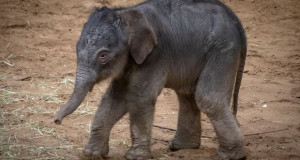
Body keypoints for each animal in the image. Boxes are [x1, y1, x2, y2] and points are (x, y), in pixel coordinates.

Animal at [54, 0, 246, 159]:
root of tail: (236, 20)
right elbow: (115, 98)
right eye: (76, 49)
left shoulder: (156, 54)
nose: (56, 121)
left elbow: (140, 96)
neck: (125, 13)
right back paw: (182, 147)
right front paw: (91, 154)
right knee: (187, 94)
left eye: (103, 55)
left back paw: (230, 156)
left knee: (207, 98)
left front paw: (135, 157)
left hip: (223, 50)